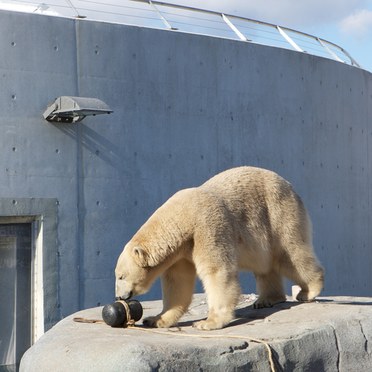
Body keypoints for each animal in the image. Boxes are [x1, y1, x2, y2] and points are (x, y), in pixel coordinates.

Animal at [115, 167, 324, 330]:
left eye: (121, 276)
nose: (119, 296)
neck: (181, 219)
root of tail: (290, 187)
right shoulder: (181, 253)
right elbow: (178, 282)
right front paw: (155, 319)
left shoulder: (206, 228)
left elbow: (216, 271)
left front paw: (208, 322)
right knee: (264, 264)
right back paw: (267, 299)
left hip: (279, 214)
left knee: (290, 254)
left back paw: (309, 290)